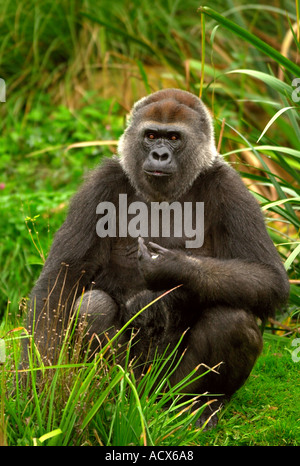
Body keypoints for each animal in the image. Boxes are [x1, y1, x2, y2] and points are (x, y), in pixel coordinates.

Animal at [25, 87, 288, 426]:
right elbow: (60, 282)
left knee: (231, 319)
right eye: (151, 136)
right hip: (133, 382)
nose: (160, 155)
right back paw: (115, 393)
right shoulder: (102, 183)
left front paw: (173, 268)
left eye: (174, 138)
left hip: (168, 390)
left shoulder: (230, 186)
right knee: (92, 308)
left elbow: (269, 278)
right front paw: (34, 384)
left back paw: (200, 403)